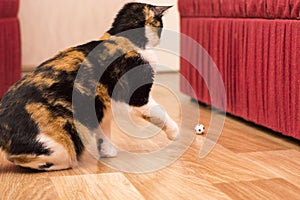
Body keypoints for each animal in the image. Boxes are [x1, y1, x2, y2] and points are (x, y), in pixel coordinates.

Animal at [0, 2, 178, 171]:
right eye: (160, 25)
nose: (161, 39)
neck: (125, 37)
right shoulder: (138, 97)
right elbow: (159, 113)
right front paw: (175, 133)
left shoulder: (103, 106)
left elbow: (104, 131)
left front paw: (107, 152)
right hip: (61, 141)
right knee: (24, 158)